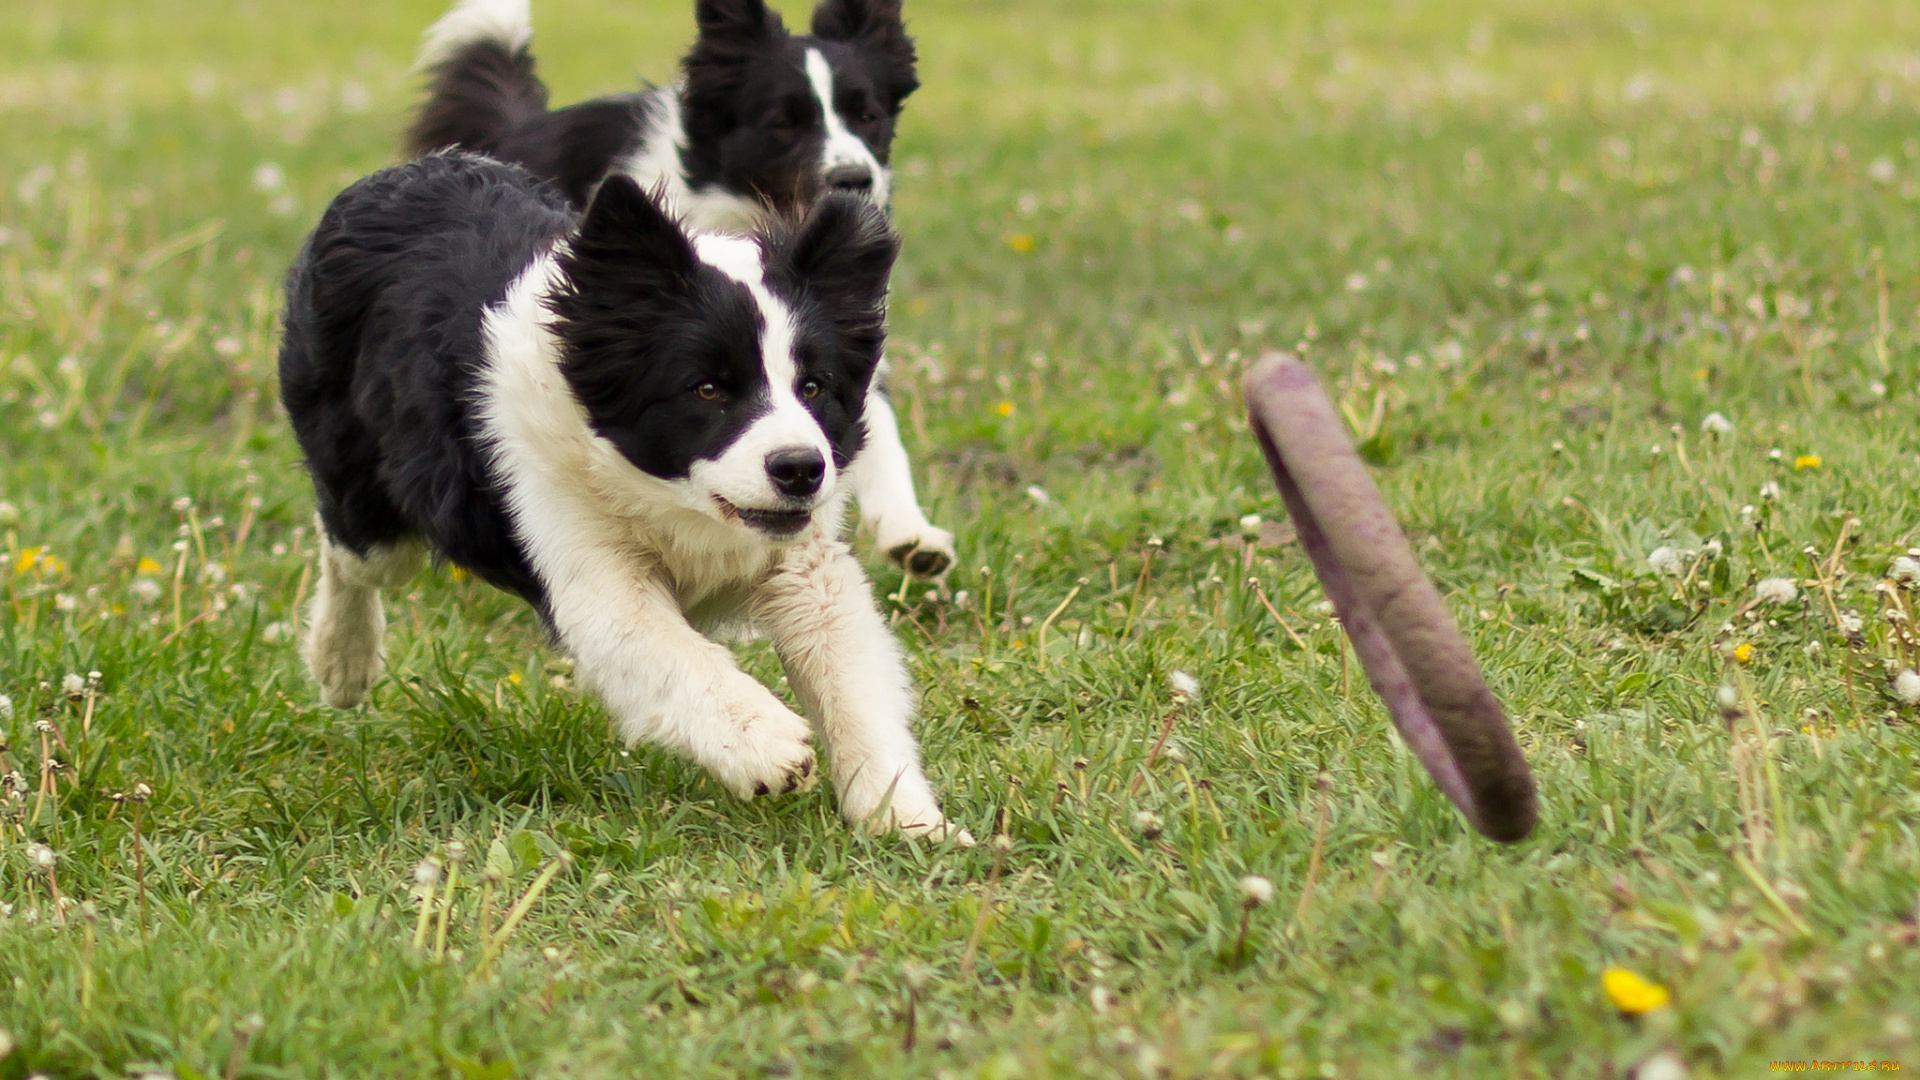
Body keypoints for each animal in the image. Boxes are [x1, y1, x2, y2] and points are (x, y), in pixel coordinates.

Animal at [278, 153, 967, 841]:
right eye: (708, 389)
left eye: (815, 387)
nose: (800, 469)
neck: (667, 500)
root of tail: (390, 179)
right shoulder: (585, 561)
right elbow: (667, 649)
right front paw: (765, 744)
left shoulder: (803, 564)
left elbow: (850, 679)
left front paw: (905, 819)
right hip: (368, 490)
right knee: (347, 547)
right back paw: (341, 662)